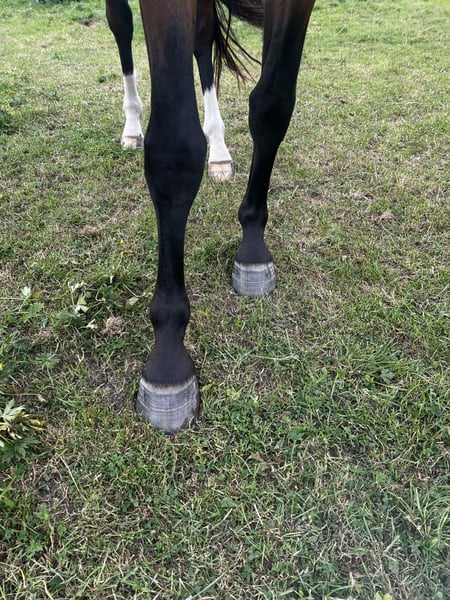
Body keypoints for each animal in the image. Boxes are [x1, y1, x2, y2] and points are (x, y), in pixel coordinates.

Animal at [106, 0, 315, 432]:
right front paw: (168, 359)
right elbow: (174, 148)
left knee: (203, 41)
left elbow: (272, 104)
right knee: (120, 25)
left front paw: (252, 245)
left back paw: (218, 150)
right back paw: (132, 125)